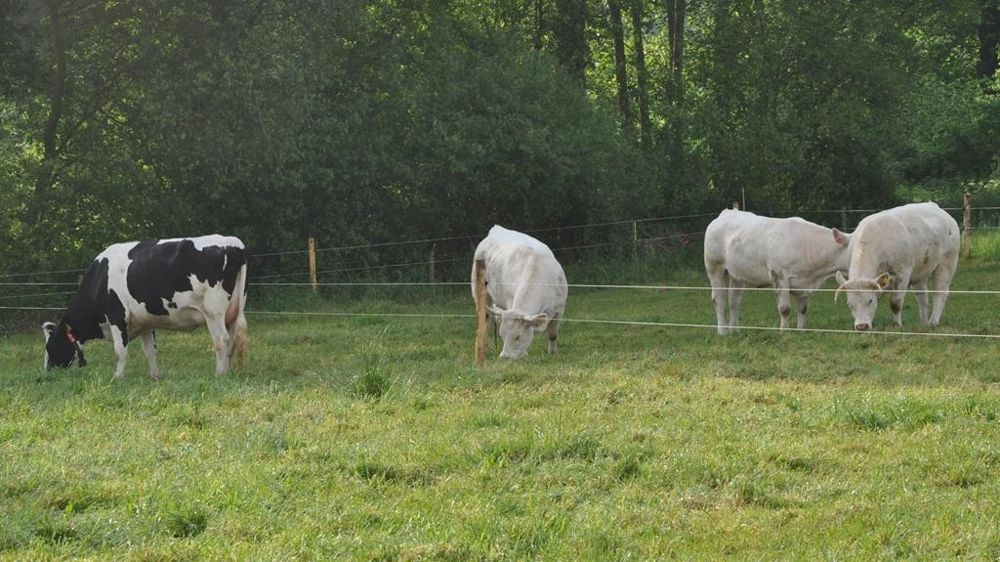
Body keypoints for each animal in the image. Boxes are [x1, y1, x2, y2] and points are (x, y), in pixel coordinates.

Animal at [42, 235, 248, 379]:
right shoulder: (145, 322)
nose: (47, 371)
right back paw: (228, 371)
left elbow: (120, 350)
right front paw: (155, 375)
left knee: (222, 340)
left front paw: (117, 376)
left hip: (213, 312)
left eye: (51, 347)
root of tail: (235, 244)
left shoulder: (117, 316)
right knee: (232, 340)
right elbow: (150, 350)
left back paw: (219, 374)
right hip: (233, 310)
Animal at [471, 225, 567, 359]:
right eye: (502, 336)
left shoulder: (559, 309)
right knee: (486, 321)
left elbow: (552, 334)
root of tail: (497, 229)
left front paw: (553, 353)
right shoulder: (510, 301)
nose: (504, 357)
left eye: (518, 337)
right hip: (480, 292)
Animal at [704, 209, 851, 334]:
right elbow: (784, 308)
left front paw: (801, 331)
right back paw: (722, 331)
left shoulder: (805, 283)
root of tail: (726, 213)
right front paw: (784, 332)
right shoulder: (779, 276)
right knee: (719, 298)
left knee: (734, 300)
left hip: (737, 274)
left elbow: (802, 309)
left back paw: (735, 331)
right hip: (714, 267)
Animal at [834, 202, 959, 331]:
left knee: (940, 293)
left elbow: (895, 303)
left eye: (870, 300)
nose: (861, 326)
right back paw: (923, 322)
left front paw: (897, 324)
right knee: (922, 297)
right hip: (920, 271)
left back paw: (933, 321)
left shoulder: (902, 274)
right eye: (850, 304)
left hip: (947, 263)